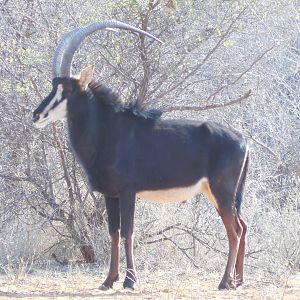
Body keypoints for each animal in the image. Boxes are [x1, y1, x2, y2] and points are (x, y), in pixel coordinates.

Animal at [32, 20, 248, 290]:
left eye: (68, 90)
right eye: (54, 86)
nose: (37, 115)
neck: (107, 130)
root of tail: (243, 140)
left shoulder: (128, 191)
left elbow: (128, 232)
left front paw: (129, 281)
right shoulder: (110, 194)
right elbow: (113, 233)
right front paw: (108, 280)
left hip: (222, 192)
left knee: (234, 231)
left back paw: (224, 282)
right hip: (220, 194)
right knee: (242, 226)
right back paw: (238, 280)